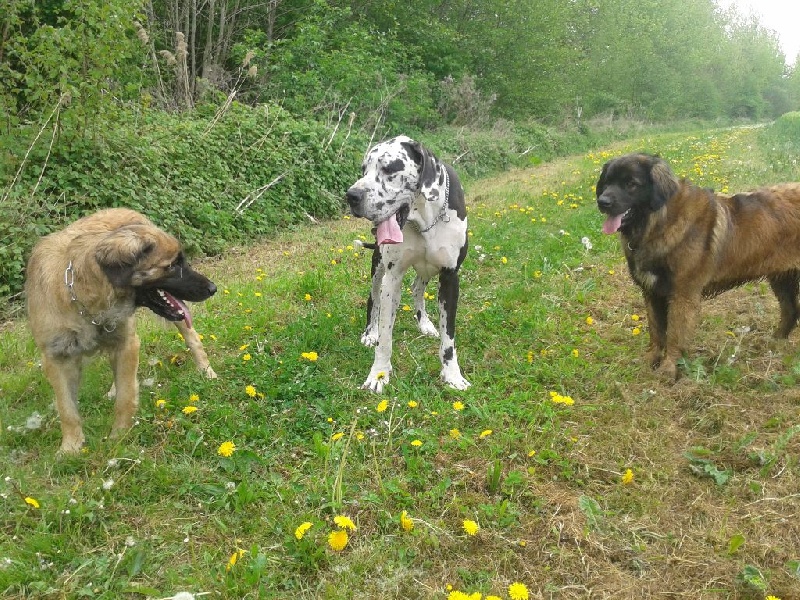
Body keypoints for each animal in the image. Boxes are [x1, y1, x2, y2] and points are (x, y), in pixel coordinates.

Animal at [26, 206, 217, 450]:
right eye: (173, 265)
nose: (213, 288)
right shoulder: (56, 358)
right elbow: (66, 409)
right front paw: (71, 447)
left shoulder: (127, 344)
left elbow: (125, 398)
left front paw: (119, 437)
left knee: (192, 337)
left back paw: (206, 371)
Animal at [344, 136, 468, 394]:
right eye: (363, 170)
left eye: (390, 169)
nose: (351, 195)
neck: (425, 220)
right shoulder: (392, 278)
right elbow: (385, 337)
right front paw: (379, 374)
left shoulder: (450, 277)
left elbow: (448, 338)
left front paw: (452, 375)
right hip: (378, 267)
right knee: (373, 300)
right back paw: (370, 333)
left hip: (427, 270)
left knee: (417, 289)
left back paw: (425, 324)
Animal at [596, 155, 800, 380]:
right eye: (607, 182)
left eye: (631, 184)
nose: (602, 202)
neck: (659, 223)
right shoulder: (651, 292)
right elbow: (656, 330)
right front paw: (650, 360)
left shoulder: (682, 295)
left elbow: (674, 334)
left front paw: (668, 370)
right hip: (782, 279)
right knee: (790, 311)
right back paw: (772, 343)